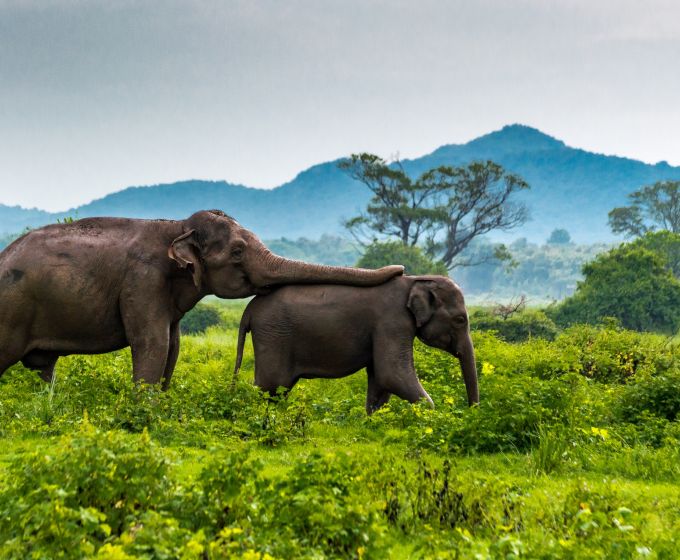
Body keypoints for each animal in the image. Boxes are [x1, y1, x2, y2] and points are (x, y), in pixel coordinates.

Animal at [0, 210, 403, 388]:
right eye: (238, 251)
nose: (400, 270)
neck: (176, 227)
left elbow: (172, 346)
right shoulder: (143, 282)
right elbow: (152, 344)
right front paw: (143, 415)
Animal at [232, 275, 479, 413]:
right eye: (460, 320)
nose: (471, 412)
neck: (415, 280)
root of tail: (249, 309)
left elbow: (380, 379)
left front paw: (373, 421)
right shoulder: (393, 321)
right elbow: (392, 374)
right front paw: (431, 417)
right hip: (274, 336)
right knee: (269, 386)